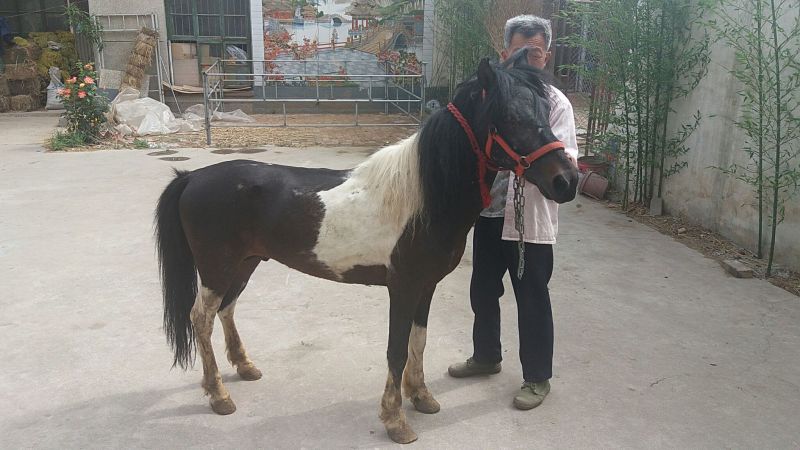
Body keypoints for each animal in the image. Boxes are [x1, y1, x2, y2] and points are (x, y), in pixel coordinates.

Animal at [155, 53, 578, 444]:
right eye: (510, 116)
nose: (567, 180)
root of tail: (192, 177)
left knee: (226, 310)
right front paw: (396, 421)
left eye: (546, 110)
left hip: (245, 263)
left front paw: (421, 397)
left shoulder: (426, 287)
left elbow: (418, 341)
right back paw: (218, 396)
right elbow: (396, 350)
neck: (422, 199)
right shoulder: (403, 288)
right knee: (201, 319)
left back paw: (244, 368)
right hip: (217, 268)